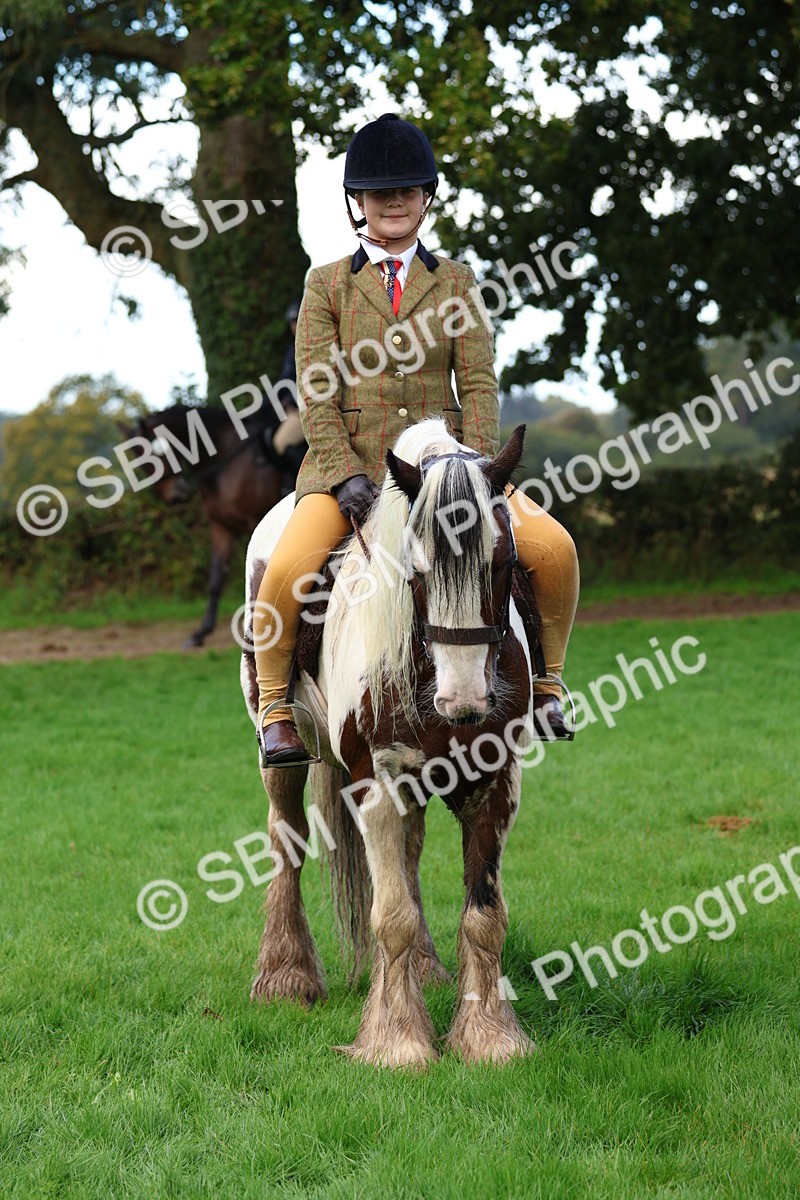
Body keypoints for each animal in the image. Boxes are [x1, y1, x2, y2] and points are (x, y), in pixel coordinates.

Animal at [130, 402, 298, 647]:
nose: (174, 497)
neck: (226, 459)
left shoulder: (254, 524)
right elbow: (216, 579)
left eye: (153, 456)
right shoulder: (221, 527)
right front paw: (201, 633)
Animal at [240, 418, 537, 1067]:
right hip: (281, 749)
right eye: (416, 569)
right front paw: (398, 1042)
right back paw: (285, 975)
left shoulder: (495, 781)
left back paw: (424, 972)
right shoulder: (373, 781)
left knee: (409, 850)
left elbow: (485, 916)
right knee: (286, 836)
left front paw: (490, 1038)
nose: (463, 699)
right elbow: (391, 915)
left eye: (503, 562)